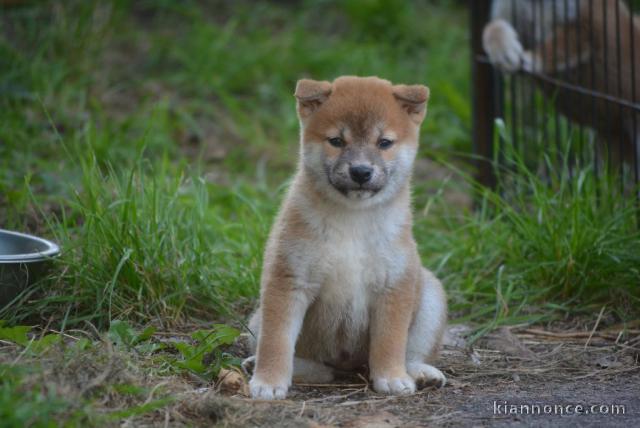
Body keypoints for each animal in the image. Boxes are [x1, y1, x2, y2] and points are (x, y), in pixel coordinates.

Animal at [248, 75, 448, 400]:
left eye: (384, 143)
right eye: (337, 141)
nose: (361, 171)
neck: (354, 219)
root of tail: (349, 367)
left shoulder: (394, 284)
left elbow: (391, 341)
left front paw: (392, 377)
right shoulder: (289, 279)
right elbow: (276, 340)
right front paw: (268, 381)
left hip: (430, 295)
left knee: (412, 352)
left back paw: (420, 373)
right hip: (258, 320)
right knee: (304, 359)